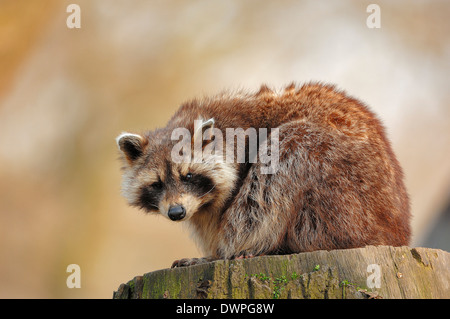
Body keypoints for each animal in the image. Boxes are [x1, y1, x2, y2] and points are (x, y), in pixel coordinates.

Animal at [117, 82, 412, 268]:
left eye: (188, 176)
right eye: (157, 184)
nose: (176, 213)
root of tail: (394, 234)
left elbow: (250, 207)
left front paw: (221, 252)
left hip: (342, 193)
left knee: (283, 154)